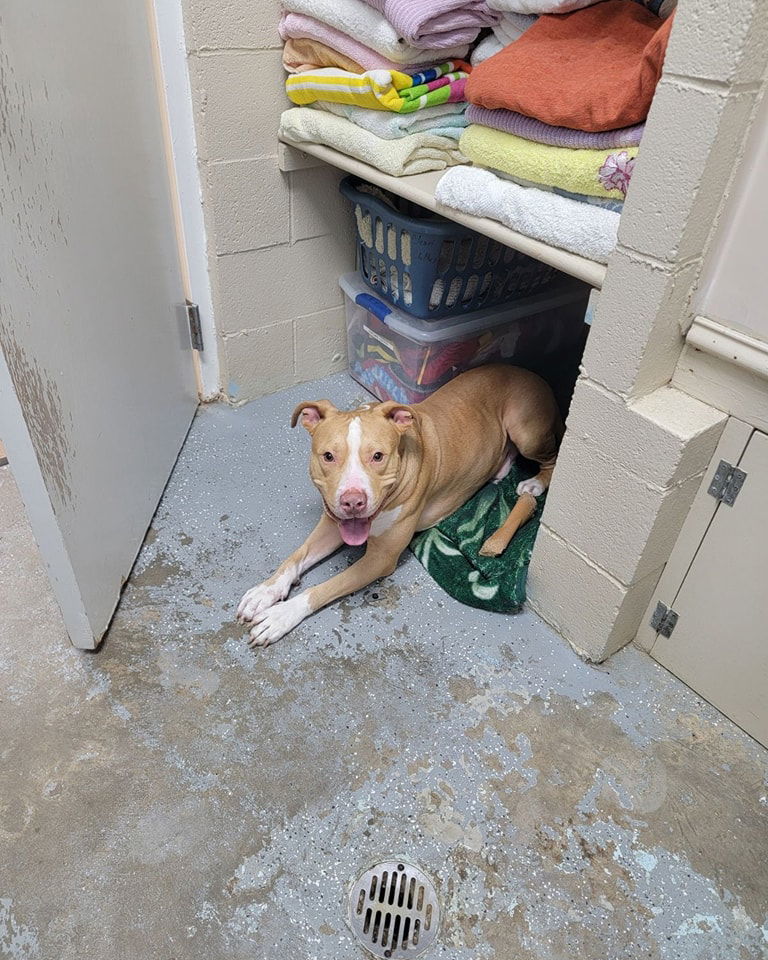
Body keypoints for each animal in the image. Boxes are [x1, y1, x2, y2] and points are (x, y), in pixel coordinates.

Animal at [237, 364, 560, 648]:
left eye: (378, 456)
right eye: (328, 456)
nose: (352, 501)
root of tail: (532, 374)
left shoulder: (380, 559)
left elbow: (323, 588)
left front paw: (280, 616)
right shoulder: (332, 523)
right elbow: (295, 558)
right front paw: (265, 591)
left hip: (526, 431)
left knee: (553, 458)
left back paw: (533, 484)